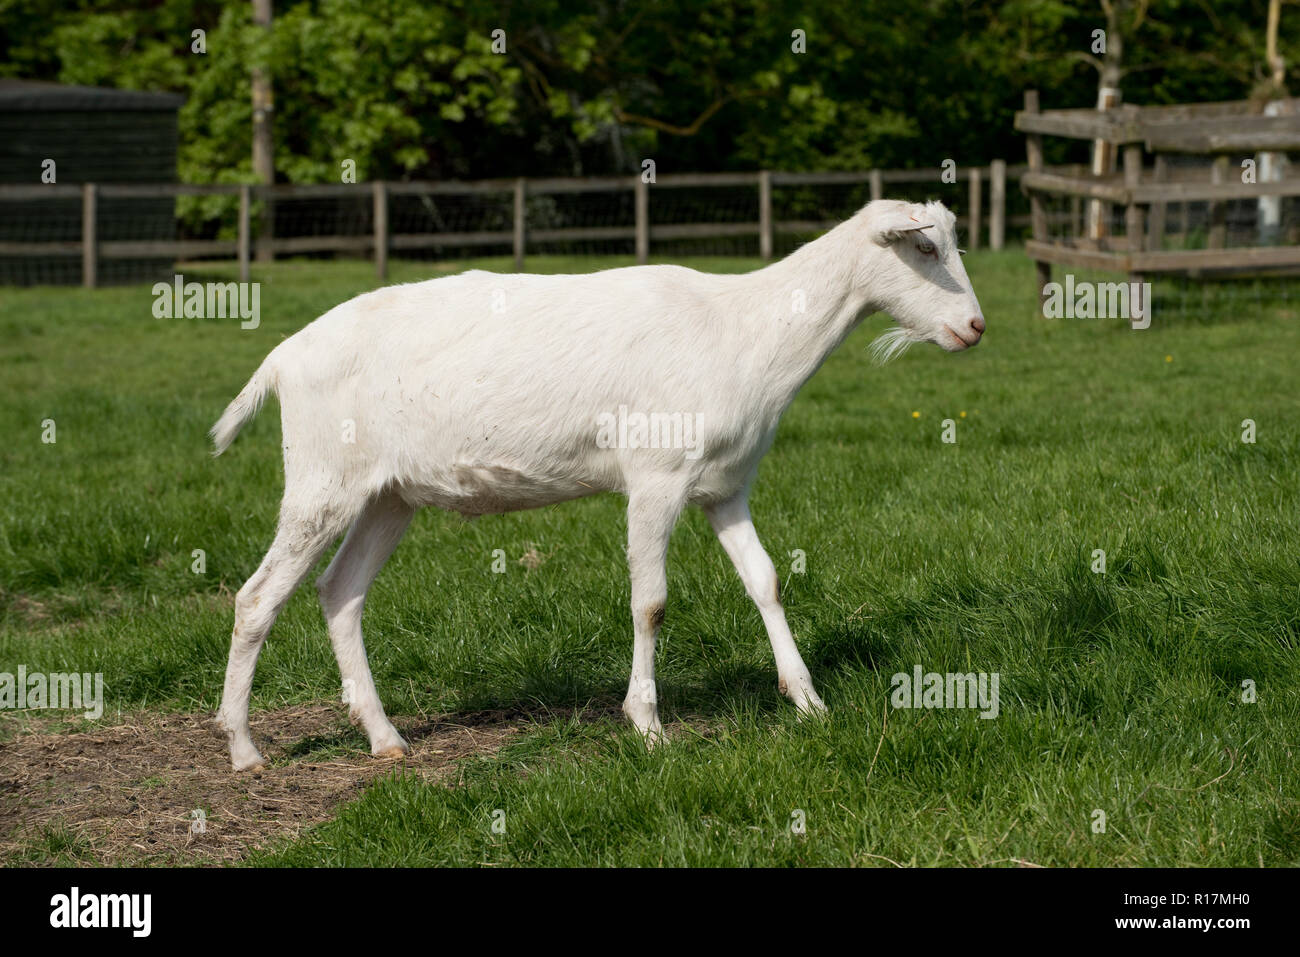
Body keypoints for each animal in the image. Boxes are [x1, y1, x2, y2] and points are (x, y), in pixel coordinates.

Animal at [211, 199, 985, 770]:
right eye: (922, 250)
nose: (975, 326)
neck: (742, 332)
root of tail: (281, 357)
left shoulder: (724, 486)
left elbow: (765, 579)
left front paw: (808, 701)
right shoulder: (656, 477)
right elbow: (652, 602)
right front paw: (647, 724)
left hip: (387, 494)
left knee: (340, 591)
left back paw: (385, 738)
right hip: (321, 478)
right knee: (256, 597)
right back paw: (244, 748)